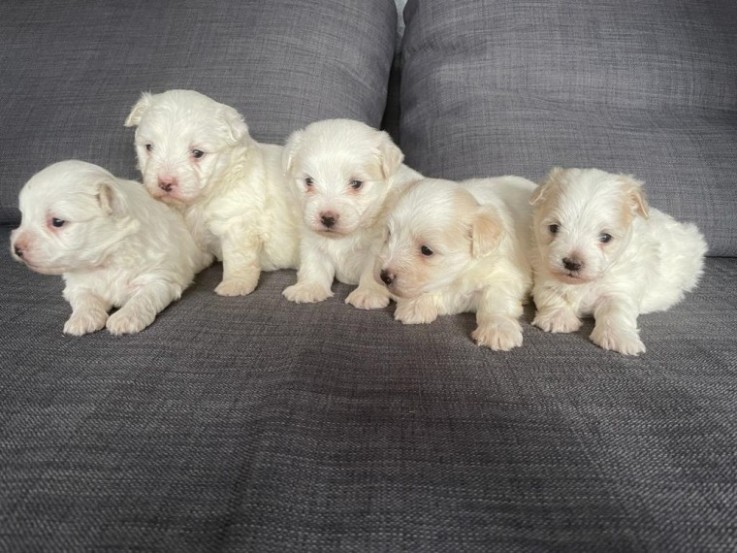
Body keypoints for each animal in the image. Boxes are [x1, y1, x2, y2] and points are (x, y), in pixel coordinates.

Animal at [10, 157, 211, 334]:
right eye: (23, 217)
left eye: (57, 222)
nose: (16, 248)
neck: (106, 261)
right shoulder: (77, 285)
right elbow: (84, 299)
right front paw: (82, 319)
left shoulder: (161, 277)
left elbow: (144, 297)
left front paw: (125, 318)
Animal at [125, 89, 300, 298]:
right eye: (149, 147)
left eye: (197, 153)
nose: (165, 182)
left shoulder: (237, 223)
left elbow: (237, 259)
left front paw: (235, 285)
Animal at [280, 119, 420, 308]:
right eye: (309, 181)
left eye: (356, 184)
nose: (327, 218)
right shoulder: (312, 241)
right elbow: (314, 264)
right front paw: (308, 288)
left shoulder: (378, 247)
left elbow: (372, 271)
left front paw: (368, 293)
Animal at [376, 176, 532, 350]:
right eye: (389, 234)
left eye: (426, 250)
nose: (384, 276)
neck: (457, 275)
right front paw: (414, 306)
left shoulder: (503, 272)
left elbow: (496, 300)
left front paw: (497, 329)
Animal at [528, 167, 708, 354]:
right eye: (554, 228)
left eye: (606, 237)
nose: (572, 263)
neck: (584, 283)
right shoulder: (543, 276)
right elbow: (551, 296)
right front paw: (557, 318)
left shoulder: (621, 288)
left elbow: (616, 311)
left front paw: (619, 338)